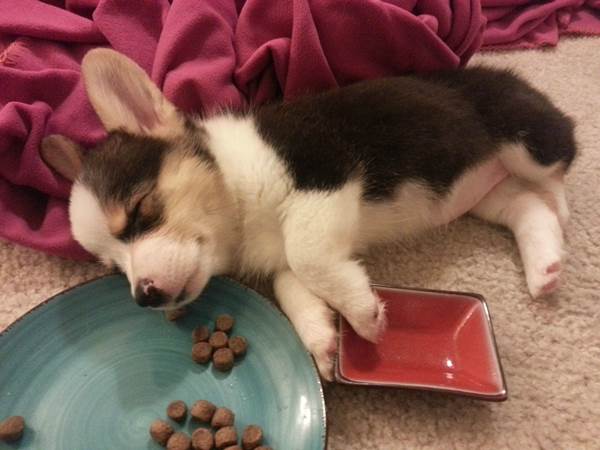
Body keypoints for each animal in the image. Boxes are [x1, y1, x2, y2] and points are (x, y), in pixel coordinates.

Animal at [42, 49, 576, 380]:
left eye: (140, 212)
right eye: (114, 268)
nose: (144, 297)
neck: (237, 201)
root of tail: (510, 76)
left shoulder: (324, 171)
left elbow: (307, 256)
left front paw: (364, 316)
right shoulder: (282, 255)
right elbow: (291, 283)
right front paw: (322, 339)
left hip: (523, 136)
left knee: (556, 169)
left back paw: (563, 206)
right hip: (487, 195)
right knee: (525, 206)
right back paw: (545, 268)